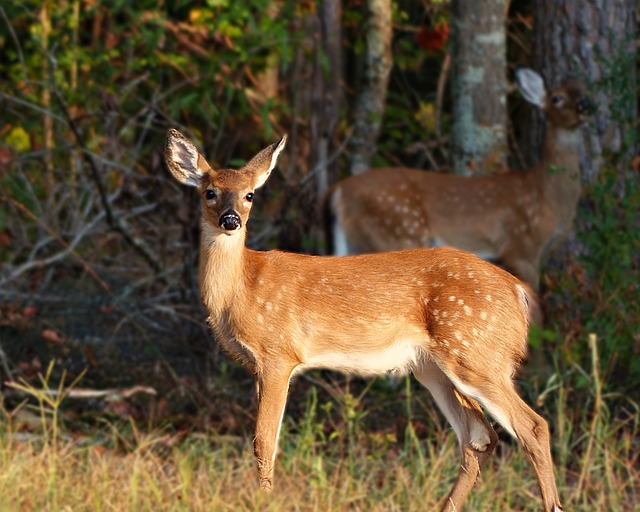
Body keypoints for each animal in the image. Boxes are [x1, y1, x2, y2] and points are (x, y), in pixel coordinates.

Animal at [166, 129, 564, 512]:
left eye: (250, 195)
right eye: (210, 192)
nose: (230, 220)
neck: (241, 289)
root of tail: (518, 290)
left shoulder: (278, 354)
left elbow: (264, 443)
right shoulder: (258, 365)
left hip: (475, 351)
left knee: (532, 426)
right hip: (434, 366)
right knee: (478, 436)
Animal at [330, 67, 592, 296]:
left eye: (583, 92)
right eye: (557, 98)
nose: (584, 106)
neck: (547, 196)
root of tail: (339, 192)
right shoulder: (520, 246)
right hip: (399, 229)